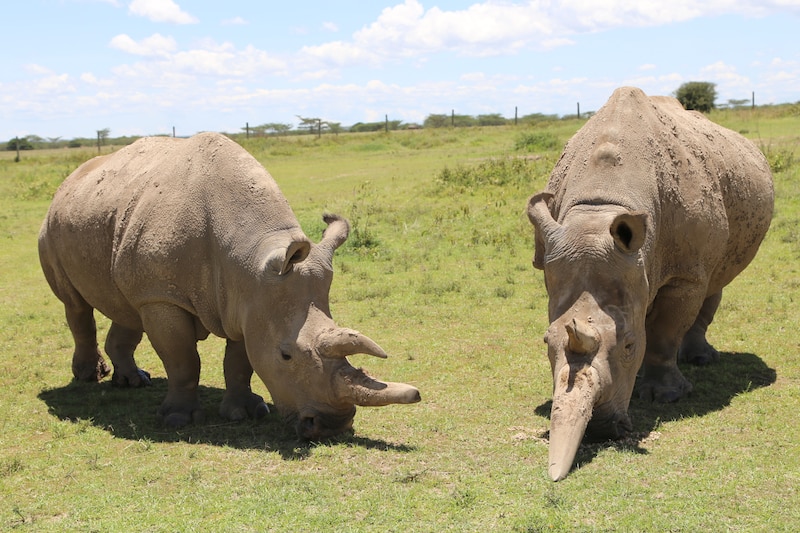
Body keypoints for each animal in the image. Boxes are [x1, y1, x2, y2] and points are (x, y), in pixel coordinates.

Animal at [39, 132, 420, 439]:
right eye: (286, 355)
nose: (331, 427)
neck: (249, 255)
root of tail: (69, 179)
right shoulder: (166, 298)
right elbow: (182, 360)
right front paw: (177, 420)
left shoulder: (249, 299)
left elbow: (240, 360)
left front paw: (246, 412)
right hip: (53, 225)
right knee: (76, 305)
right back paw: (89, 378)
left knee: (127, 306)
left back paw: (133, 381)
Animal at [526, 87, 773, 481]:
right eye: (546, 342)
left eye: (628, 346)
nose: (598, 430)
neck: (600, 207)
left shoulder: (683, 273)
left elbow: (665, 331)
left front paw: (666, 396)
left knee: (714, 280)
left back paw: (701, 360)